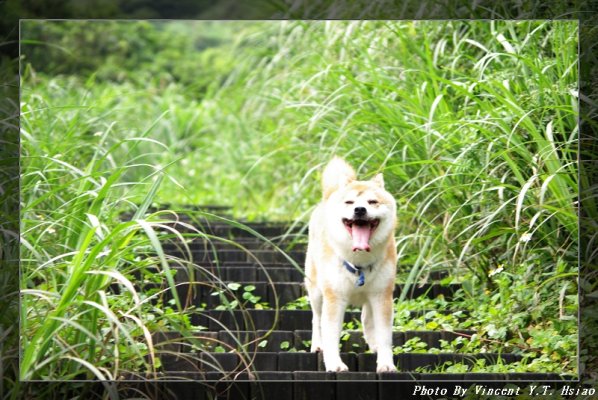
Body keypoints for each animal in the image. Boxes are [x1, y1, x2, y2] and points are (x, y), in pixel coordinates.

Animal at [304, 155, 398, 372]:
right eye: (349, 202)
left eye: (372, 202)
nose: (360, 209)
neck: (359, 263)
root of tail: (328, 196)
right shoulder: (335, 298)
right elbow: (331, 334)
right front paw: (334, 363)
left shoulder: (382, 296)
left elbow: (385, 336)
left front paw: (386, 363)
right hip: (316, 291)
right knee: (316, 319)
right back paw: (317, 345)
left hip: (371, 296)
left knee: (366, 318)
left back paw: (373, 344)